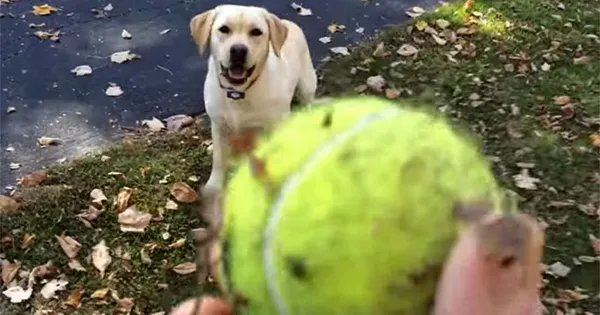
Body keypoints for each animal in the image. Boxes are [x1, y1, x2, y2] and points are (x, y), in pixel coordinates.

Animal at [191, 4, 318, 191]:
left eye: (256, 32)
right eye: (224, 29)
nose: (238, 50)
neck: (239, 92)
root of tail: (288, 22)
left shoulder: (274, 127)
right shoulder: (218, 125)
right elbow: (219, 159)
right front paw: (214, 186)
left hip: (306, 87)